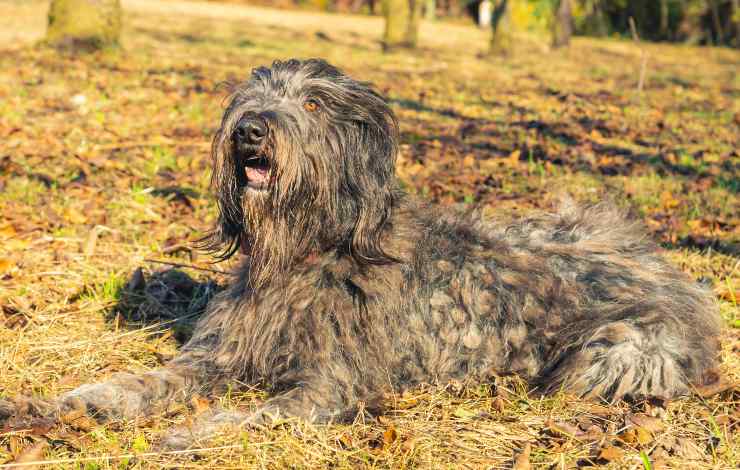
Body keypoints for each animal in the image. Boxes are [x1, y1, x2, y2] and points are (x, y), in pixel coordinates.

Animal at [50, 58, 716, 448]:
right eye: (250, 96)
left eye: (313, 104)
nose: (250, 130)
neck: (310, 252)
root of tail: (671, 270)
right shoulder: (221, 353)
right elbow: (149, 380)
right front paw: (81, 402)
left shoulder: (331, 384)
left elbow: (261, 413)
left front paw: (198, 431)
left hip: (622, 351)